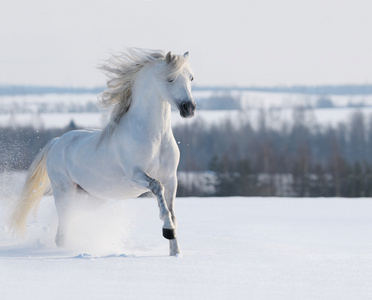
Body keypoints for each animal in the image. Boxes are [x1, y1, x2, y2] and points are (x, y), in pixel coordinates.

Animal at [10, 48, 196, 255]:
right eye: (170, 79)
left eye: (191, 78)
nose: (189, 108)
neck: (156, 137)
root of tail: (56, 141)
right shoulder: (135, 175)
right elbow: (158, 189)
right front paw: (167, 230)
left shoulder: (171, 178)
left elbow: (172, 211)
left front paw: (175, 251)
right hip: (64, 191)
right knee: (61, 234)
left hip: (90, 198)